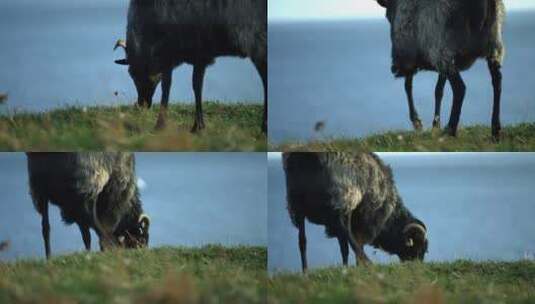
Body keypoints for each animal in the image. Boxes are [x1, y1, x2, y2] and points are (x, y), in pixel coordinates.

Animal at [115, 0, 270, 133]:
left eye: (134, 74)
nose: (142, 104)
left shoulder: (172, 53)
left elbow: (171, 86)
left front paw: (161, 126)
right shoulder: (199, 55)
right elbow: (197, 86)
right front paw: (198, 126)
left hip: (256, 41)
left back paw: (264, 128)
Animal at [282, 152, 430, 274]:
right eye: (417, 248)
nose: (418, 268)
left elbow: (343, 246)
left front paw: (345, 267)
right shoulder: (365, 219)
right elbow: (357, 242)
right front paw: (356, 267)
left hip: (296, 201)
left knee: (302, 240)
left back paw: (305, 271)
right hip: (345, 196)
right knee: (346, 231)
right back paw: (367, 262)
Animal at [376, 0, 506, 139]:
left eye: (388, 16)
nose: (394, 68)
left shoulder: (421, 56)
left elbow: (409, 86)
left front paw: (419, 122)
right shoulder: (438, 59)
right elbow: (438, 90)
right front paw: (435, 124)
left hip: (445, 50)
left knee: (460, 88)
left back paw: (451, 129)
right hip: (493, 46)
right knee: (497, 81)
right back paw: (495, 130)